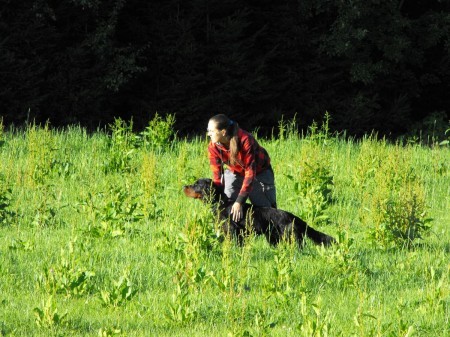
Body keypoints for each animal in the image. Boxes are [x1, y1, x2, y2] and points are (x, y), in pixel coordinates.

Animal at [182, 178, 334, 247]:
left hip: (290, 237)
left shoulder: (232, 230)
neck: (222, 203)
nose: (184, 186)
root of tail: (293, 217)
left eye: (196, 184)